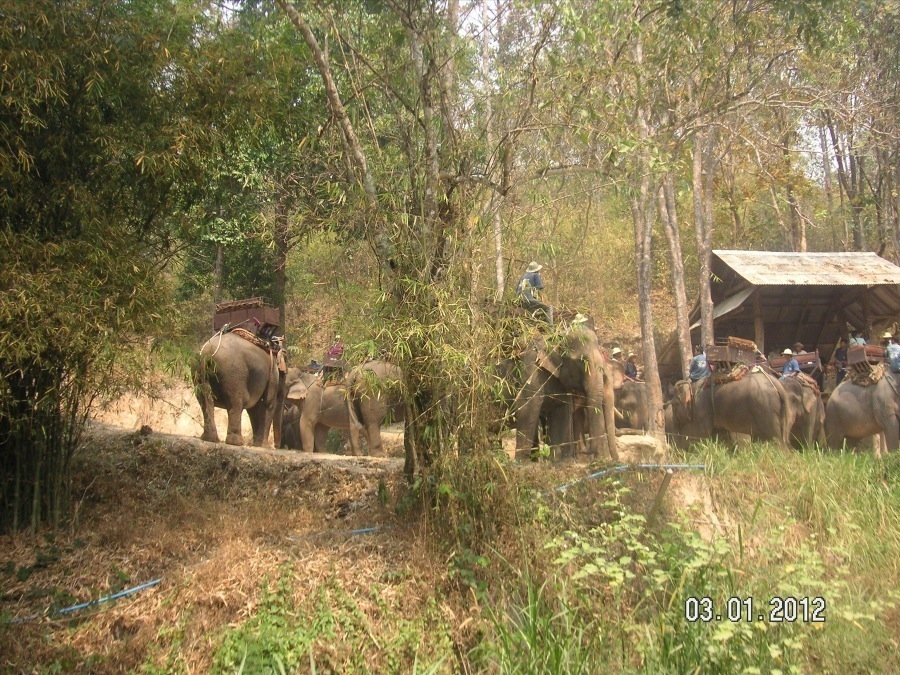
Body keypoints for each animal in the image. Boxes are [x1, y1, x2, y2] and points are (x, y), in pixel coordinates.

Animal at [512, 326, 620, 462]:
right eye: (581, 361)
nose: (585, 450)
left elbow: (560, 410)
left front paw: (557, 461)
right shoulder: (531, 366)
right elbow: (528, 405)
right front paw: (522, 463)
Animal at [664, 368, 792, 452]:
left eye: (674, 404)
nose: (675, 450)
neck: (693, 386)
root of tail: (777, 385)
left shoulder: (701, 408)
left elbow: (699, 433)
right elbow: (720, 435)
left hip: (765, 409)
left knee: (775, 440)